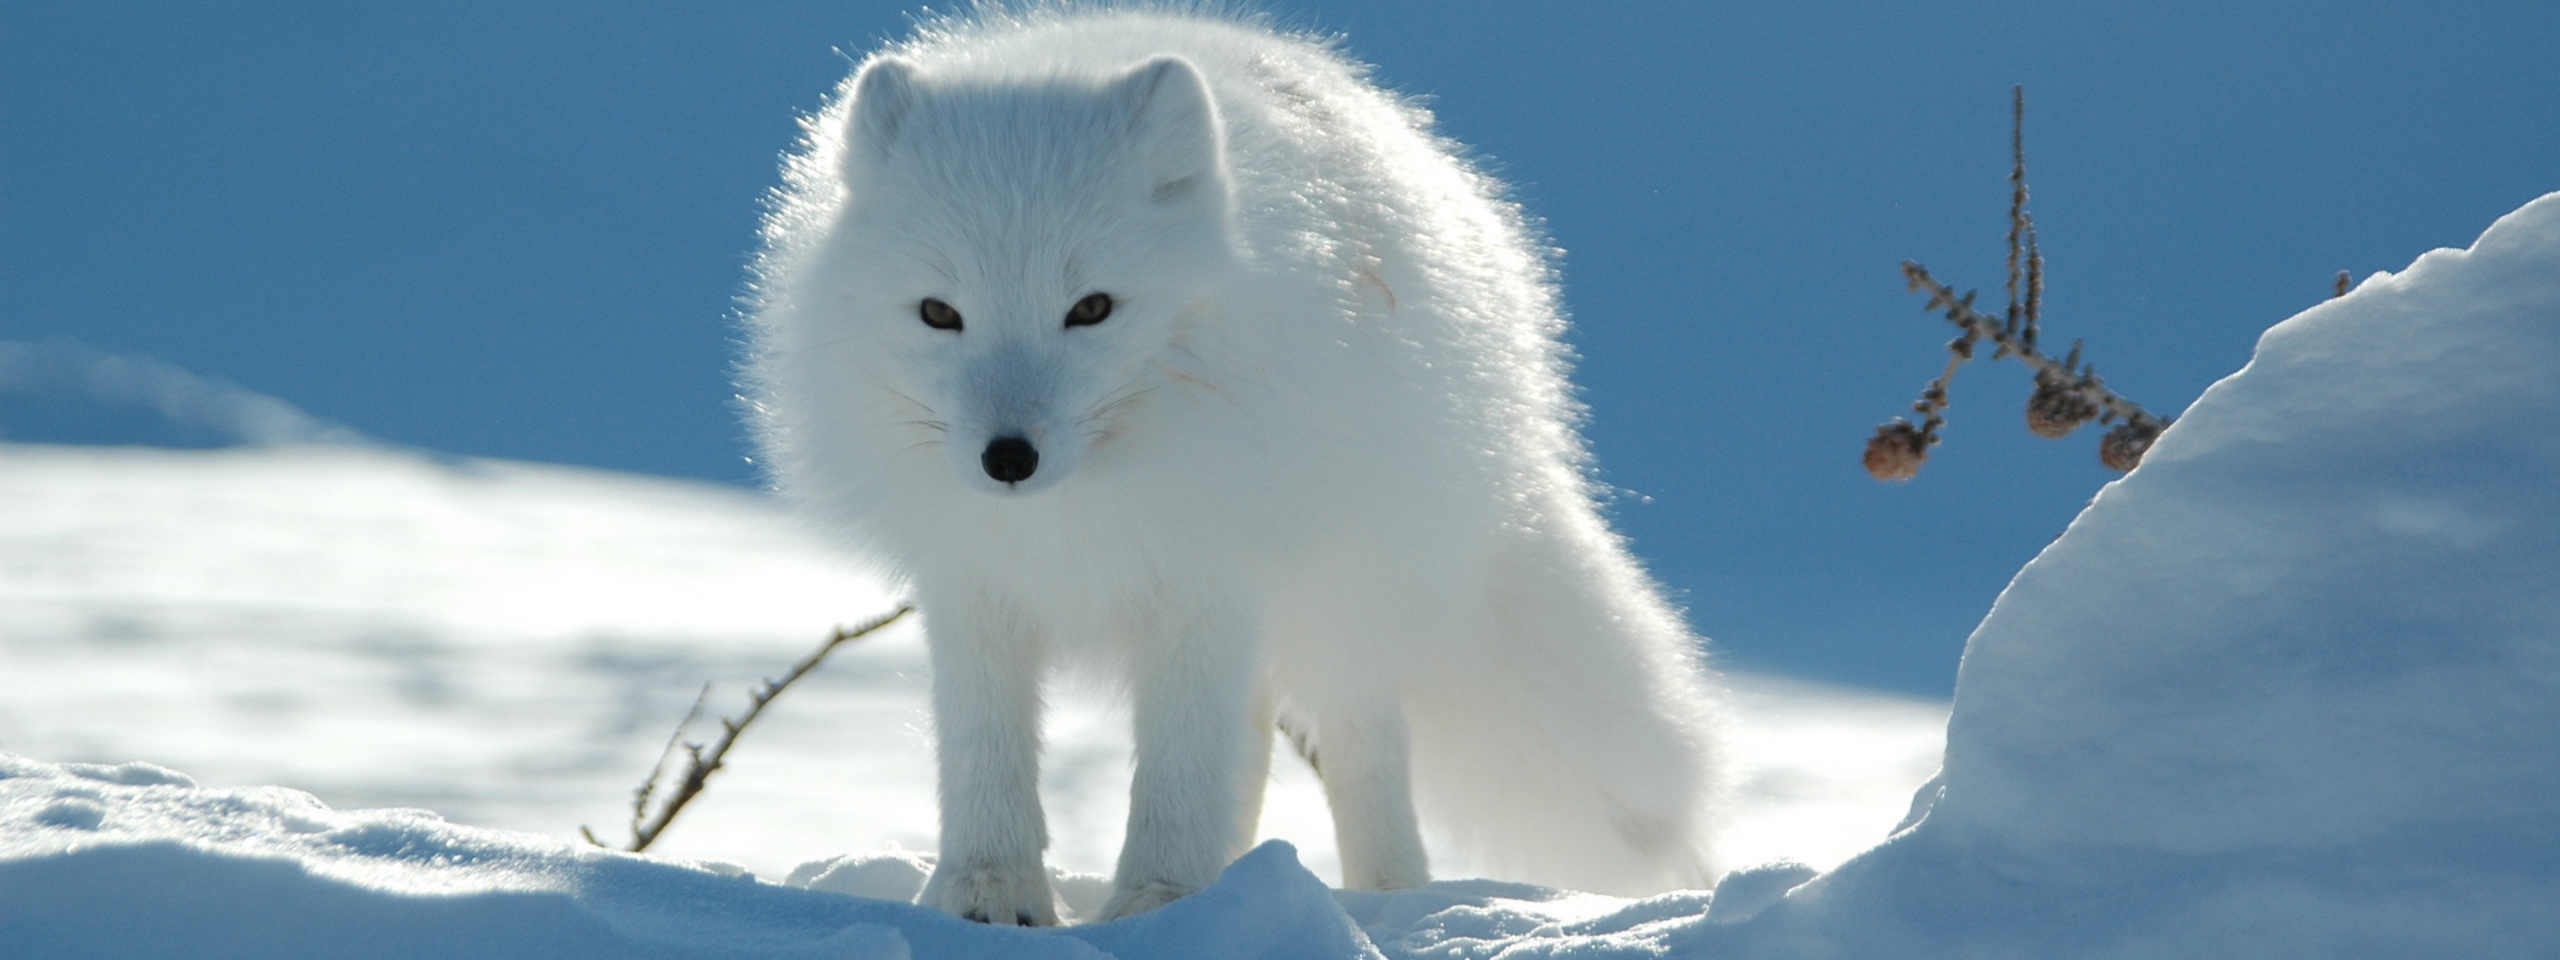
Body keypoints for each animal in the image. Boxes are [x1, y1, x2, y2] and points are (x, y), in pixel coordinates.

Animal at [747, 5, 1730, 926]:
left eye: (1091, 308)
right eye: (938, 313)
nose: (1007, 459)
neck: (1077, 512)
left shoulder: (1208, 575)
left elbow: (1181, 767)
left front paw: (1157, 900)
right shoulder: (972, 583)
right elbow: (985, 752)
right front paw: (988, 894)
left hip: (1345, 598)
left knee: (1359, 746)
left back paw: (1386, 899)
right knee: (1252, 742)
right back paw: (1241, 877)